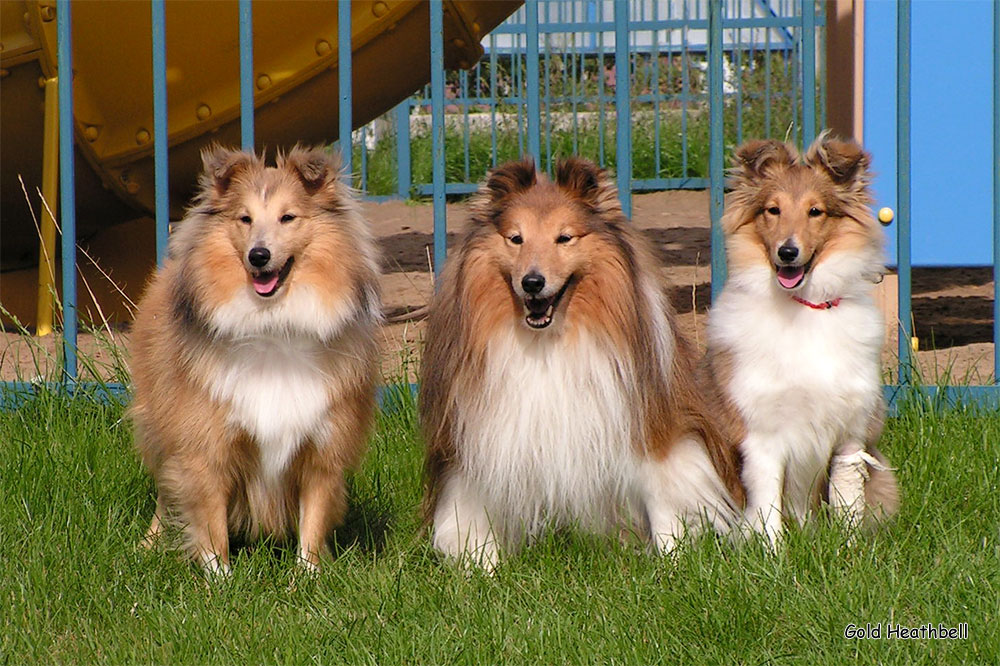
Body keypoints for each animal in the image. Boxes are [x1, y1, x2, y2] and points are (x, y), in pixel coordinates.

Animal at [131, 144, 380, 572]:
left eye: (288, 217)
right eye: (244, 218)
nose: (258, 256)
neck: (273, 324)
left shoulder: (323, 448)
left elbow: (314, 520)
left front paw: (310, 574)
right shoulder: (205, 445)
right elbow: (210, 522)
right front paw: (220, 577)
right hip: (164, 428)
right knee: (166, 494)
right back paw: (148, 548)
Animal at [420, 156, 744, 564]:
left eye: (564, 238)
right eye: (515, 238)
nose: (532, 283)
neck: (548, 343)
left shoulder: (654, 427)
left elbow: (664, 498)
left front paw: (671, 559)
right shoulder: (478, 437)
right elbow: (469, 510)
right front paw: (480, 564)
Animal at [700, 131, 904, 544]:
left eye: (816, 211)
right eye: (772, 210)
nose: (788, 252)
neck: (805, 306)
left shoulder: (850, 436)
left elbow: (847, 506)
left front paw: (847, 550)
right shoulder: (761, 434)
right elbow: (767, 510)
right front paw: (774, 555)